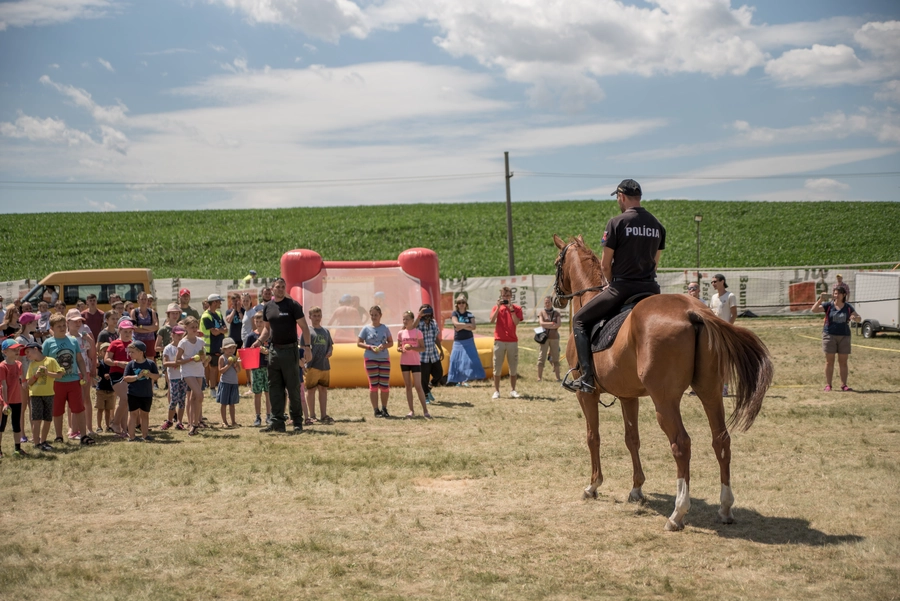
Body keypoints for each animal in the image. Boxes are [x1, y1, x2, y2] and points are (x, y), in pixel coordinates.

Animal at [552, 234, 768, 528]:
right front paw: (636, 489)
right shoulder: (629, 396)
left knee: (682, 444)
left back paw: (678, 513)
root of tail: (692, 311)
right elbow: (632, 438)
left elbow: (592, 437)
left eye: (557, 262)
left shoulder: (586, 394)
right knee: (721, 440)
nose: (556, 299)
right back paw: (725, 508)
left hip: (664, 401)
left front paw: (593, 485)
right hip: (710, 391)